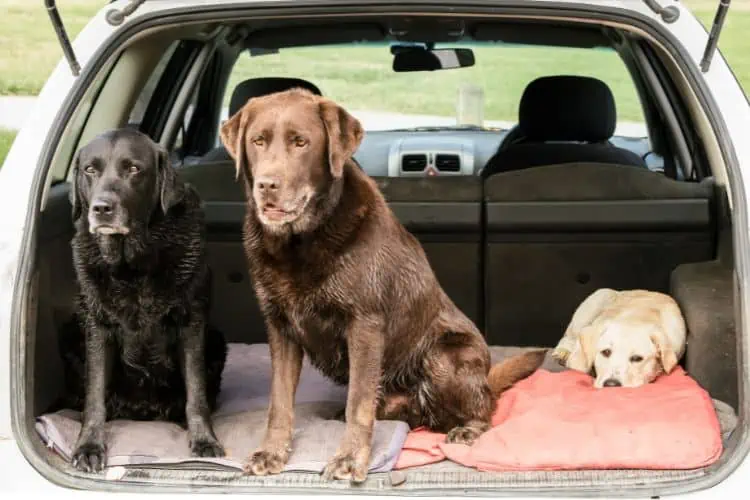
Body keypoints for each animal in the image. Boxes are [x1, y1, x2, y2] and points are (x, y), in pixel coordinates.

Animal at [61, 129, 226, 472]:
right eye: (90, 170)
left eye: (134, 169)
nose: (101, 208)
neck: (132, 266)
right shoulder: (97, 325)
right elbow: (94, 394)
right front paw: (88, 446)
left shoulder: (191, 322)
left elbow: (196, 391)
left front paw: (204, 438)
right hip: (72, 331)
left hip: (216, 339)